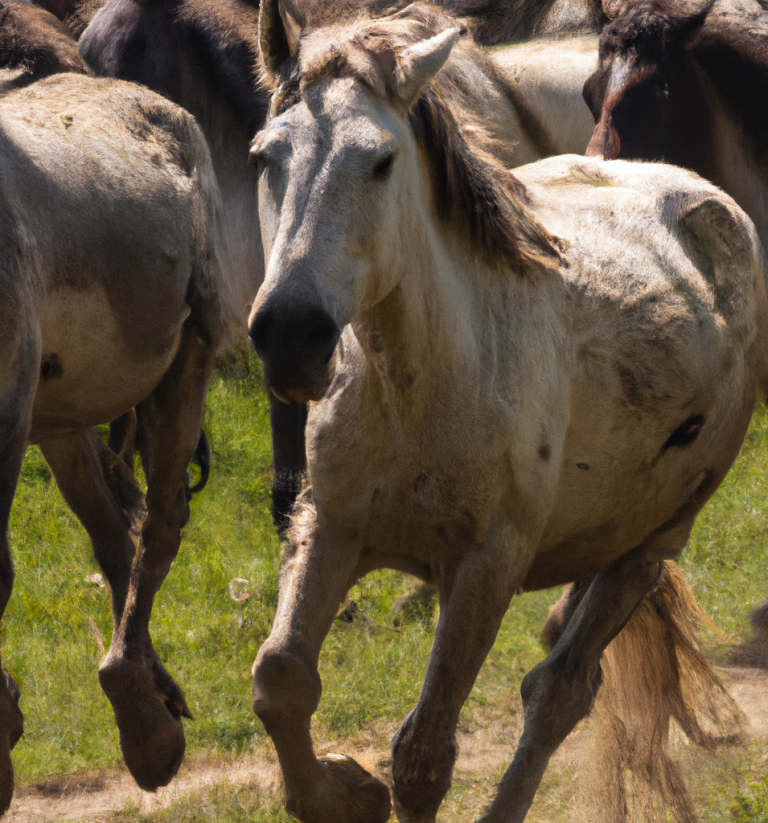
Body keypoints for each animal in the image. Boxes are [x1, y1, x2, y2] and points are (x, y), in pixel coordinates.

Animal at [0, 0, 240, 812]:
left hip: (188, 354)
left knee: (158, 523)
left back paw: (145, 726)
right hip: (61, 415)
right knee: (114, 533)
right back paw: (150, 696)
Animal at [249, 3, 768, 820]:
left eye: (381, 161)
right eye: (265, 156)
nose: (290, 335)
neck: (422, 385)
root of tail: (703, 195)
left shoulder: (487, 567)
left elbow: (424, 755)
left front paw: (368, 783)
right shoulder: (331, 525)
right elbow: (281, 680)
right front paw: (343, 790)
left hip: (648, 545)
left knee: (561, 691)